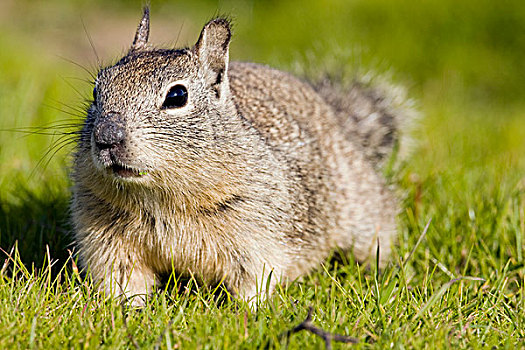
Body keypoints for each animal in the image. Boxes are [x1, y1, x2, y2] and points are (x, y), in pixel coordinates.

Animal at [70, 6, 414, 304]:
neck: (159, 196)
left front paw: (243, 313)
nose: (106, 137)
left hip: (363, 215)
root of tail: (335, 116)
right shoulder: (107, 241)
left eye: (177, 96)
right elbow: (122, 281)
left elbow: (255, 280)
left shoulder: (258, 237)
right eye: (97, 90)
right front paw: (126, 312)